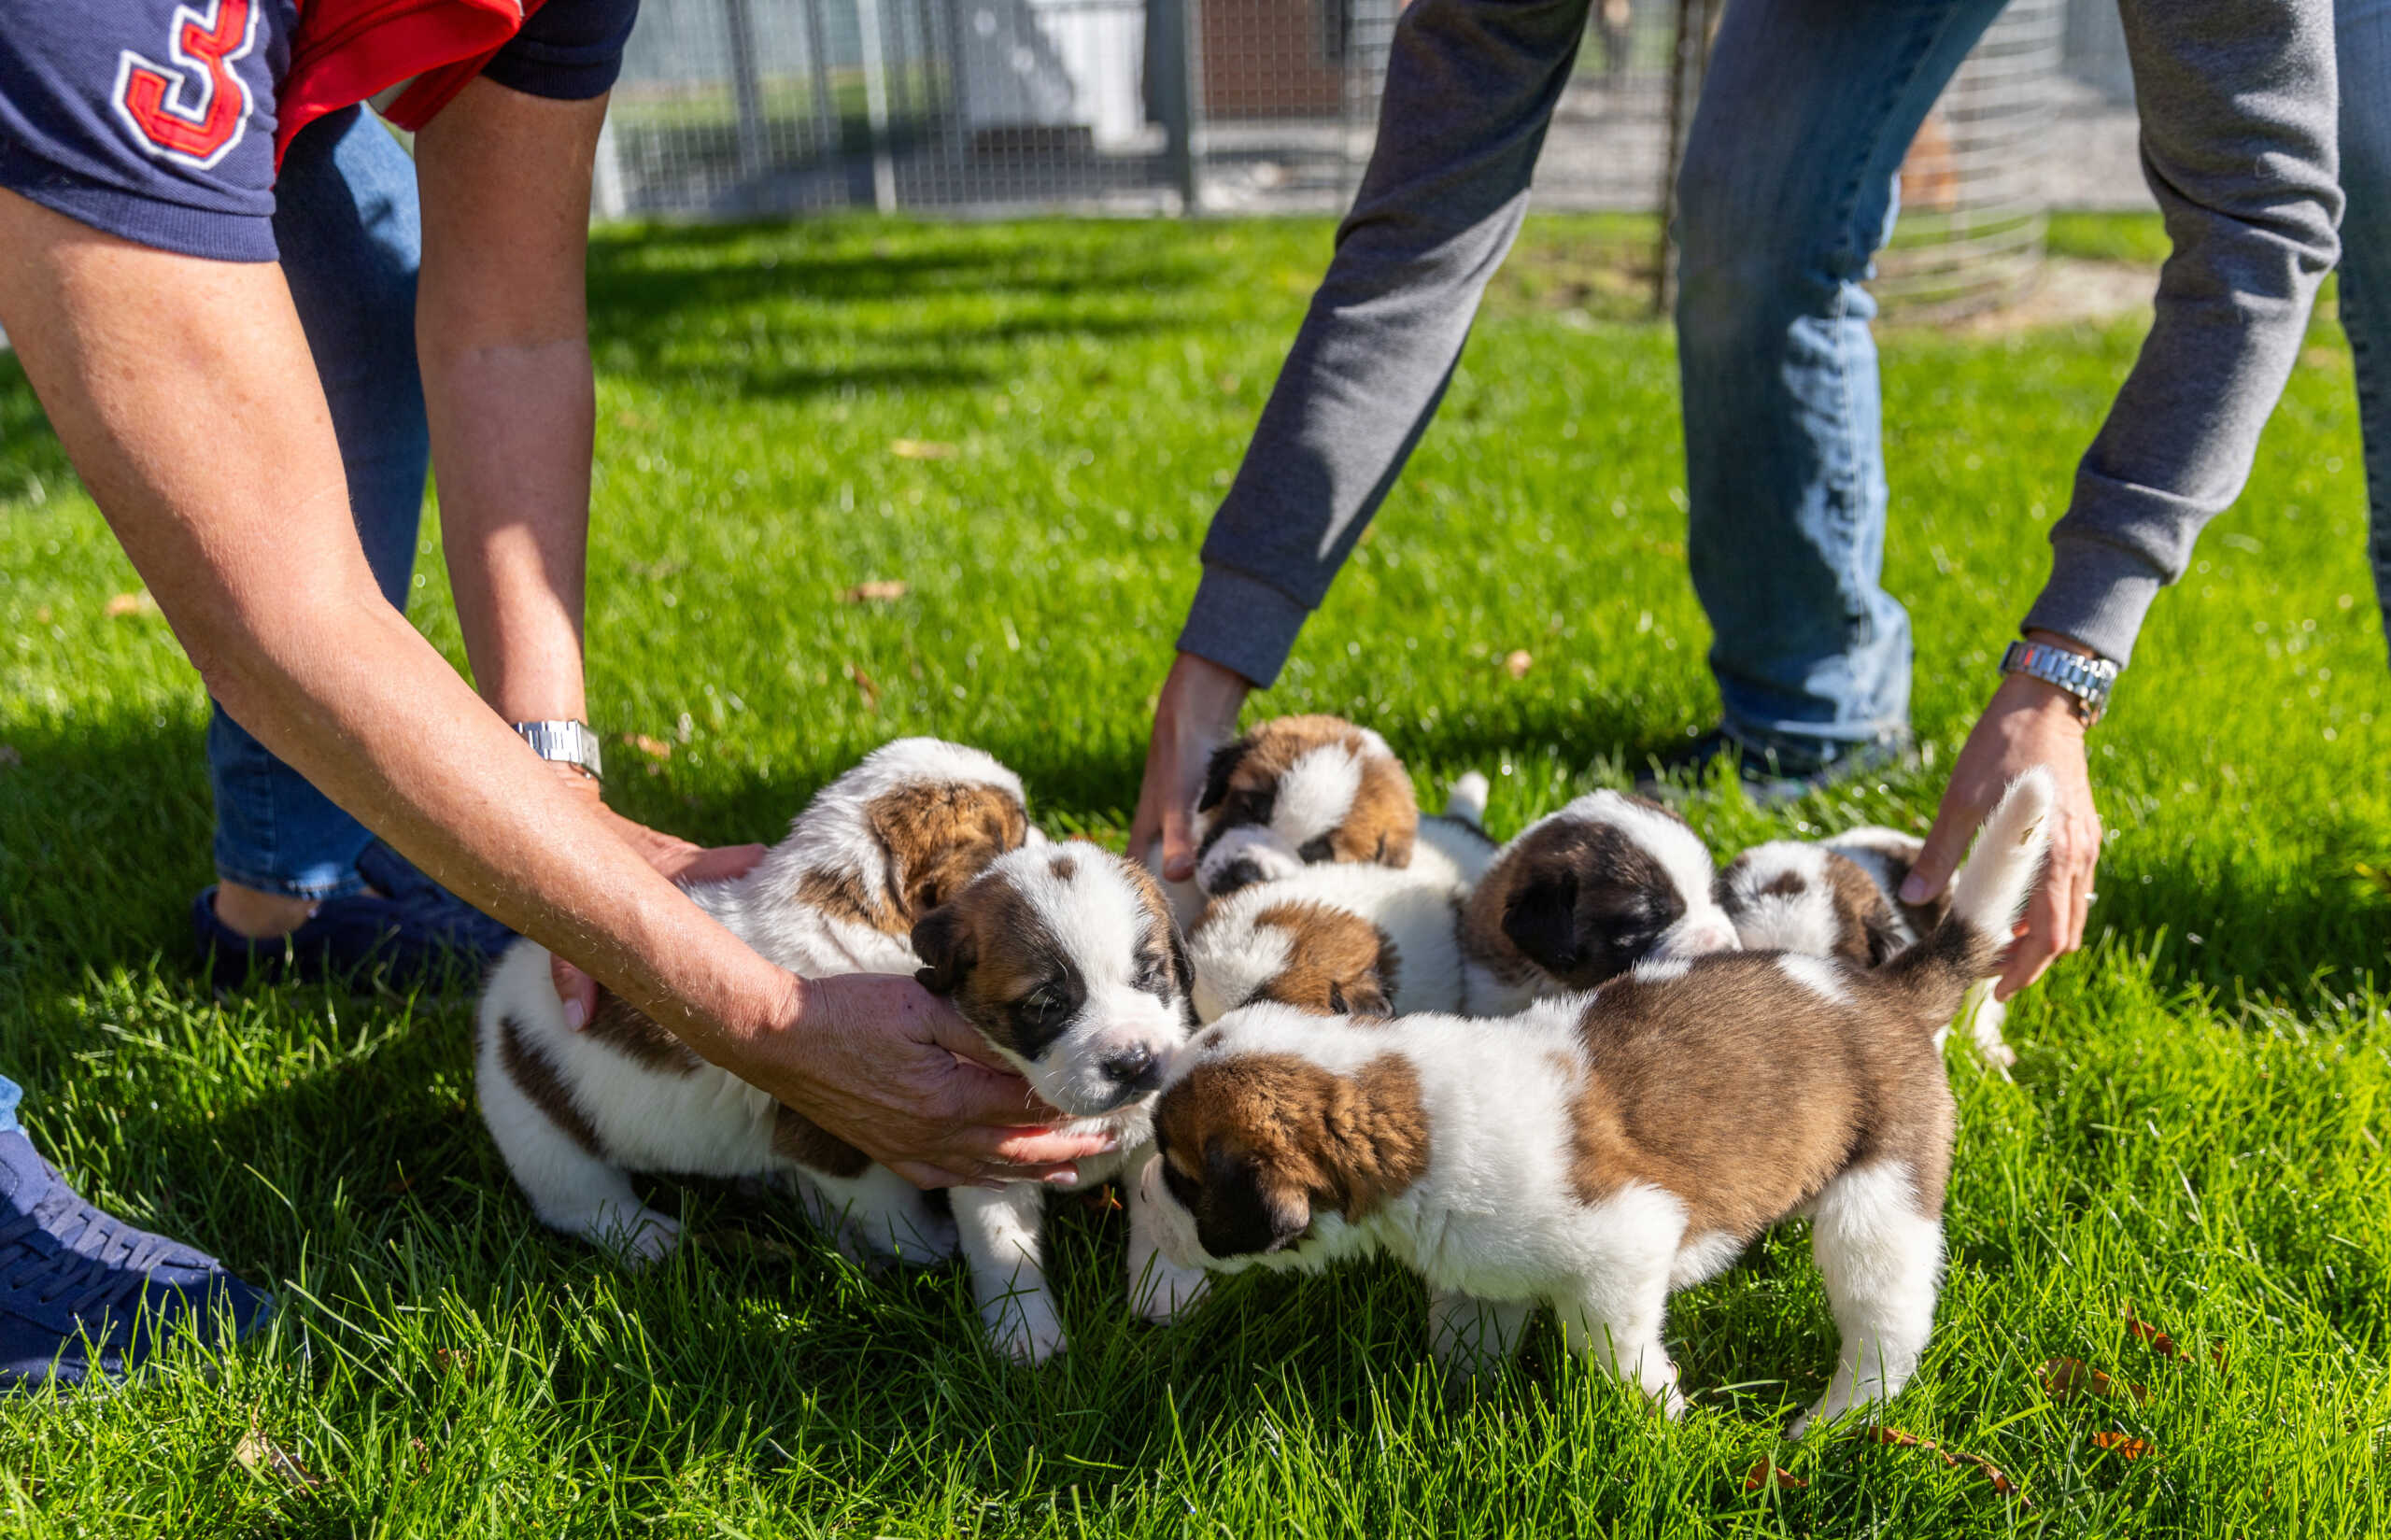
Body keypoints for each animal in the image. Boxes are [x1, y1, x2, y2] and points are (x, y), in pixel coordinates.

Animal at [478, 741, 1038, 1272]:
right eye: (1014, 833)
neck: (857, 906)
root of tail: (496, 1009)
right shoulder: (844, 1131)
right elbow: (888, 1202)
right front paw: (928, 1243)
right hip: (542, 1131)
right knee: (577, 1199)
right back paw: (646, 1238)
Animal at [913, 846, 1214, 1367]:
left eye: (1148, 975)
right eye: (1047, 1003)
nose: (1133, 1063)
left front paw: (1171, 1290)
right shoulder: (985, 1162)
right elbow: (1000, 1245)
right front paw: (1025, 1331)